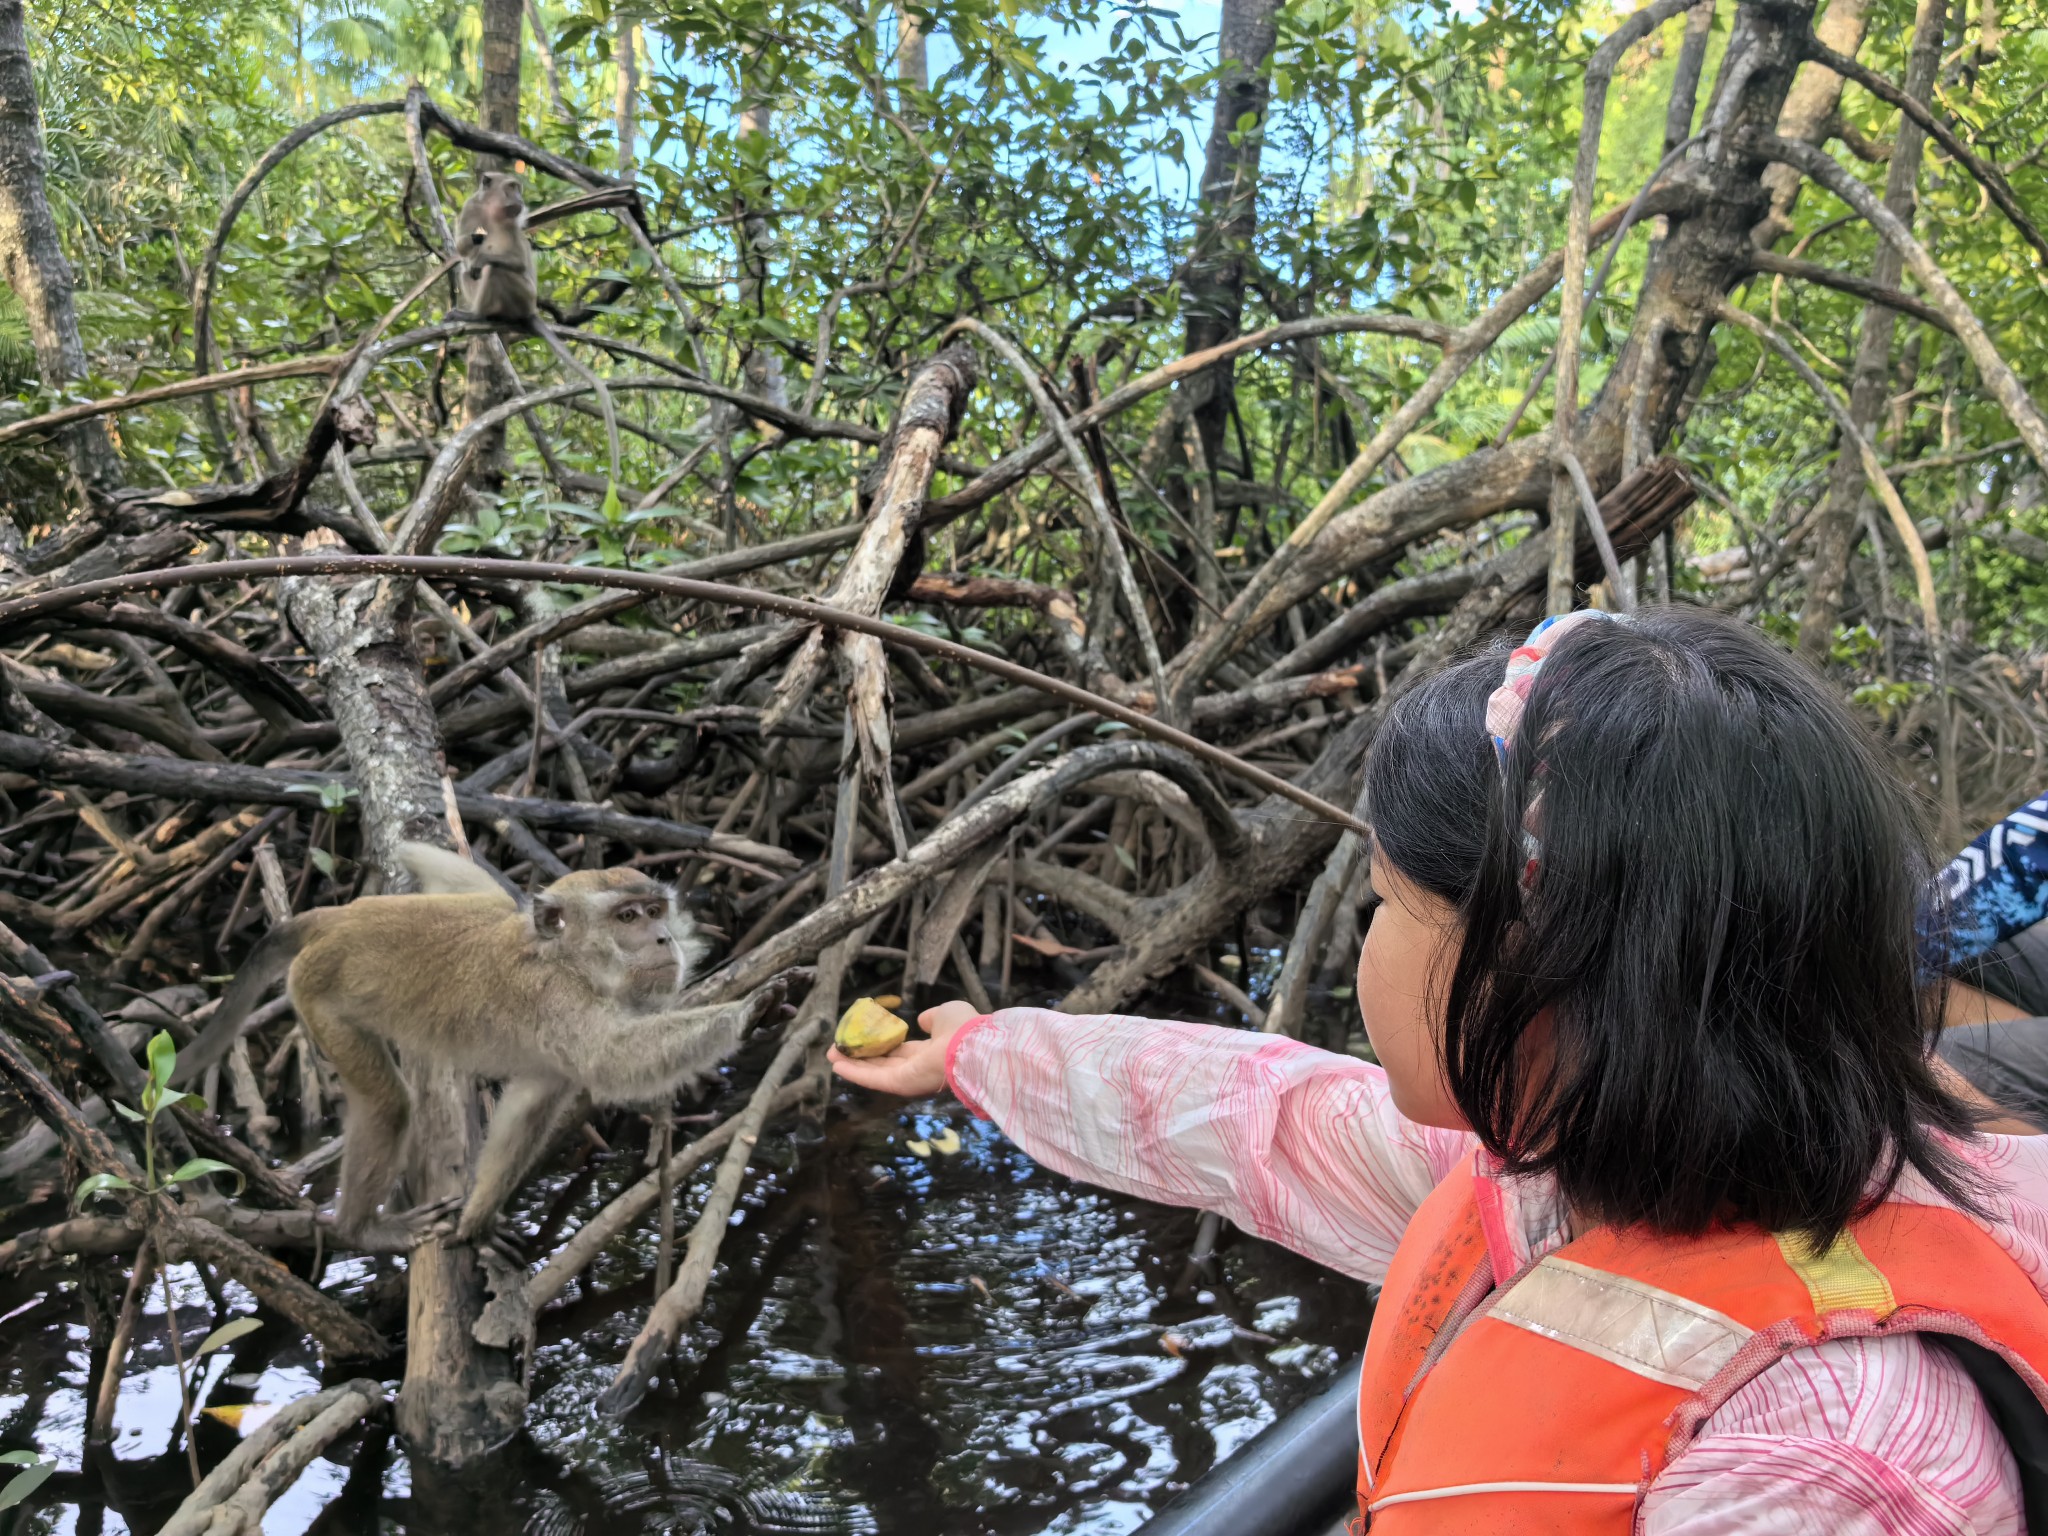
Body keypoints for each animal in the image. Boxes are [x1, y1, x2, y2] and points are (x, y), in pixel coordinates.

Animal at [178, 847, 798, 1253]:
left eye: (653, 910)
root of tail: (338, 919)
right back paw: (361, 1231)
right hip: (318, 996)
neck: (565, 960)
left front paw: (477, 1220)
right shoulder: (555, 1001)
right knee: (388, 1105)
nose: (664, 938)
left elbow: (530, 1107)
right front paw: (748, 1013)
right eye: (627, 917)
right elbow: (612, 1060)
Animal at [454, 169, 622, 493]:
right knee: (465, 269)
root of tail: (530, 310)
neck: (492, 212)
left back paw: (482, 311)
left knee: (493, 269)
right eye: (511, 187)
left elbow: (516, 262)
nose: (520, 198)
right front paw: (473, 241)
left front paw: (484, 255)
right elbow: (460, 249)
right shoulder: (470, 208)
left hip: (520, 297)